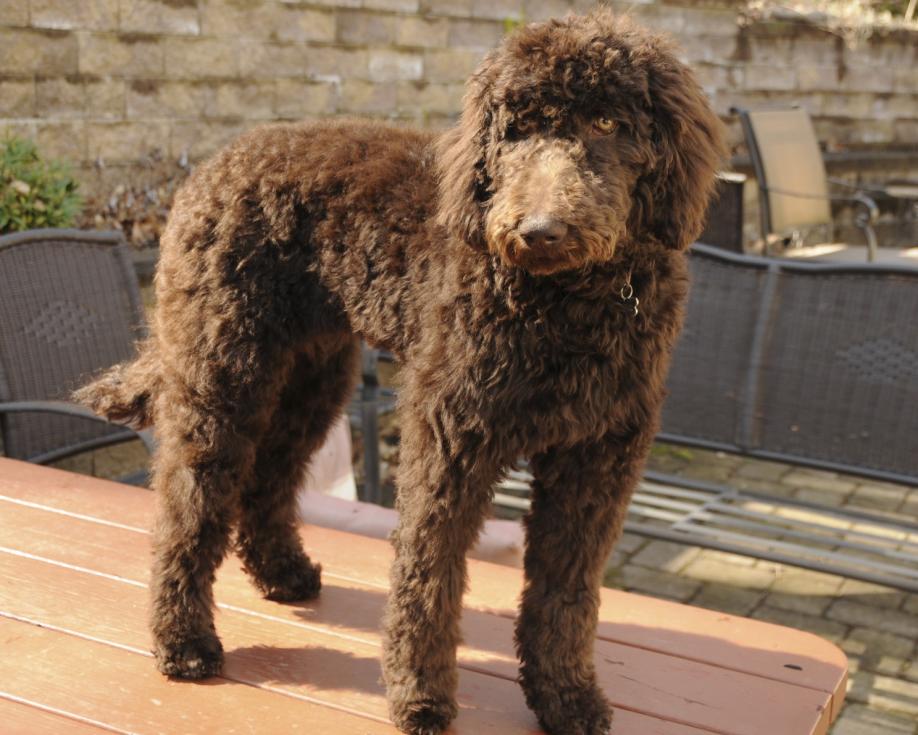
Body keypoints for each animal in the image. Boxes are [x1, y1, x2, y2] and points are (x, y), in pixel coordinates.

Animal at [79, 11, 724, 735]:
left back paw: (285, 574)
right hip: (221, 373)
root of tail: (214, 164)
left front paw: (566, 697)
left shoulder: (596, 459)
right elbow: (428, 573)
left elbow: (566, 593)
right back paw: (184, 640)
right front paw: (420, 696)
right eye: (518, 129)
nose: (539, 230)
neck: (565, 305)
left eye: (610, 123)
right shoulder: (449, 441)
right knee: (188, 502)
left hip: (312, 380)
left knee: (268, 478)